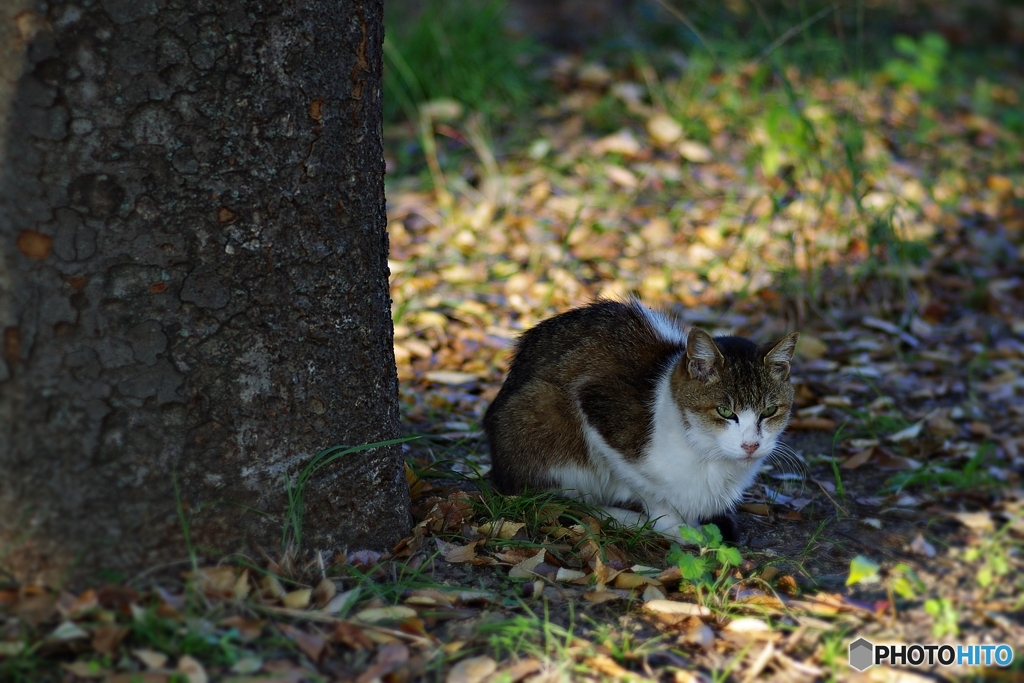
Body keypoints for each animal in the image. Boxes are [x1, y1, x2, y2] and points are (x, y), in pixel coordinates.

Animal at [481, 301, 798, 540]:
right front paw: (674, 527)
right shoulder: (596, 407)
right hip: (541, 409)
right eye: (724, 412)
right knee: (551, 498)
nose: (751, 445)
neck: (707, 452)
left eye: (769, 411)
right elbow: (650, 490)